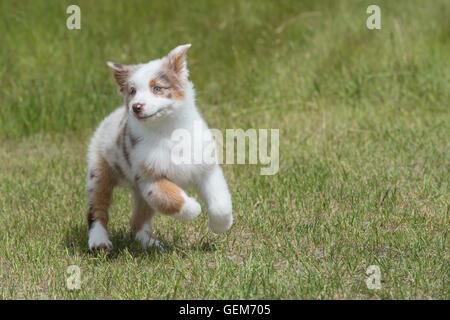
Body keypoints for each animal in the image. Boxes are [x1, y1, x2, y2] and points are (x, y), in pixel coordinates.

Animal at [85, 43, 232, 251]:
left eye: (157, 88)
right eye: (132, 91)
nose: (136, 107)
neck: (168, 131)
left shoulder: (206, 169)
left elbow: (221, 203)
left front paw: (220, 226)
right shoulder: (149, 177)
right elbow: (171, 197)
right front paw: (193, 208)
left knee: (137, 220)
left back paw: (150, 244)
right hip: (99, 171)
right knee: (97, 209)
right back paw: (99, 242)